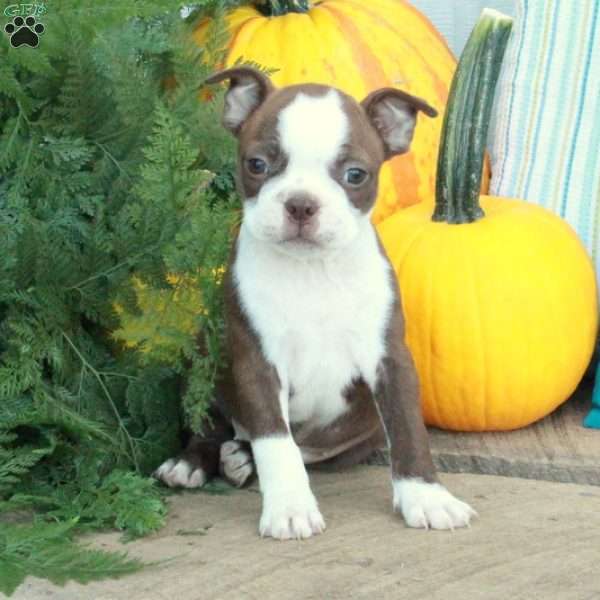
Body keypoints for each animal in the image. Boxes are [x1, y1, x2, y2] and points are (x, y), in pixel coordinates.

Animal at [156, 65, 478, 540]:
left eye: (356, 175)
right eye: (257, 165)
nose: (301, 204)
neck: (313, 272)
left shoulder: (391, 360)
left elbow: (408, 429)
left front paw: (426, 497)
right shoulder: (256, 362)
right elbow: (275, 441)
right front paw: (290, 507)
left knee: (301, 449)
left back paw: (241, 459)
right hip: (202, 354)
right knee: (217, 427)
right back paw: (192, 463)